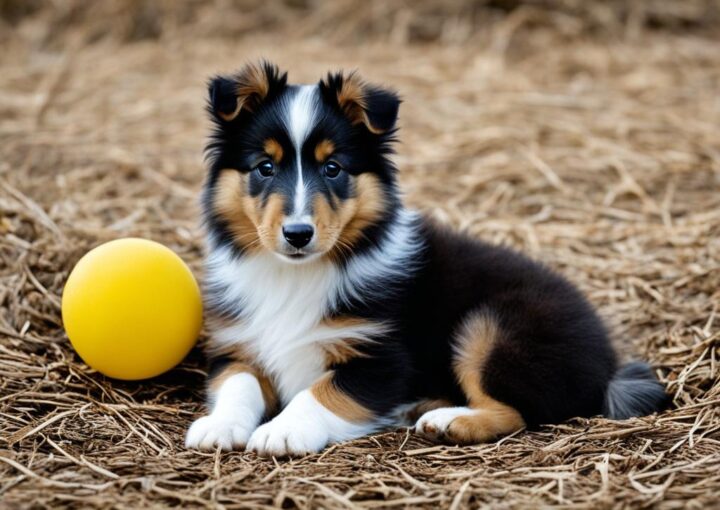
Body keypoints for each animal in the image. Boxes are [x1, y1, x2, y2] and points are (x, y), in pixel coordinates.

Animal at [184, 61, 664, 456]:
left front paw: (284, 431)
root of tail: (609, 364)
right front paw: (219, 426)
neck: (295, 274)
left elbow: (319, 393)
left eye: (333, 168)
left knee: (519, 412)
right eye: (265, 167)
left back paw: (448, 420)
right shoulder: (237, 345)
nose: (298, 234)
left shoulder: (380, 359)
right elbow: (237, 385)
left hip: (492, 326)